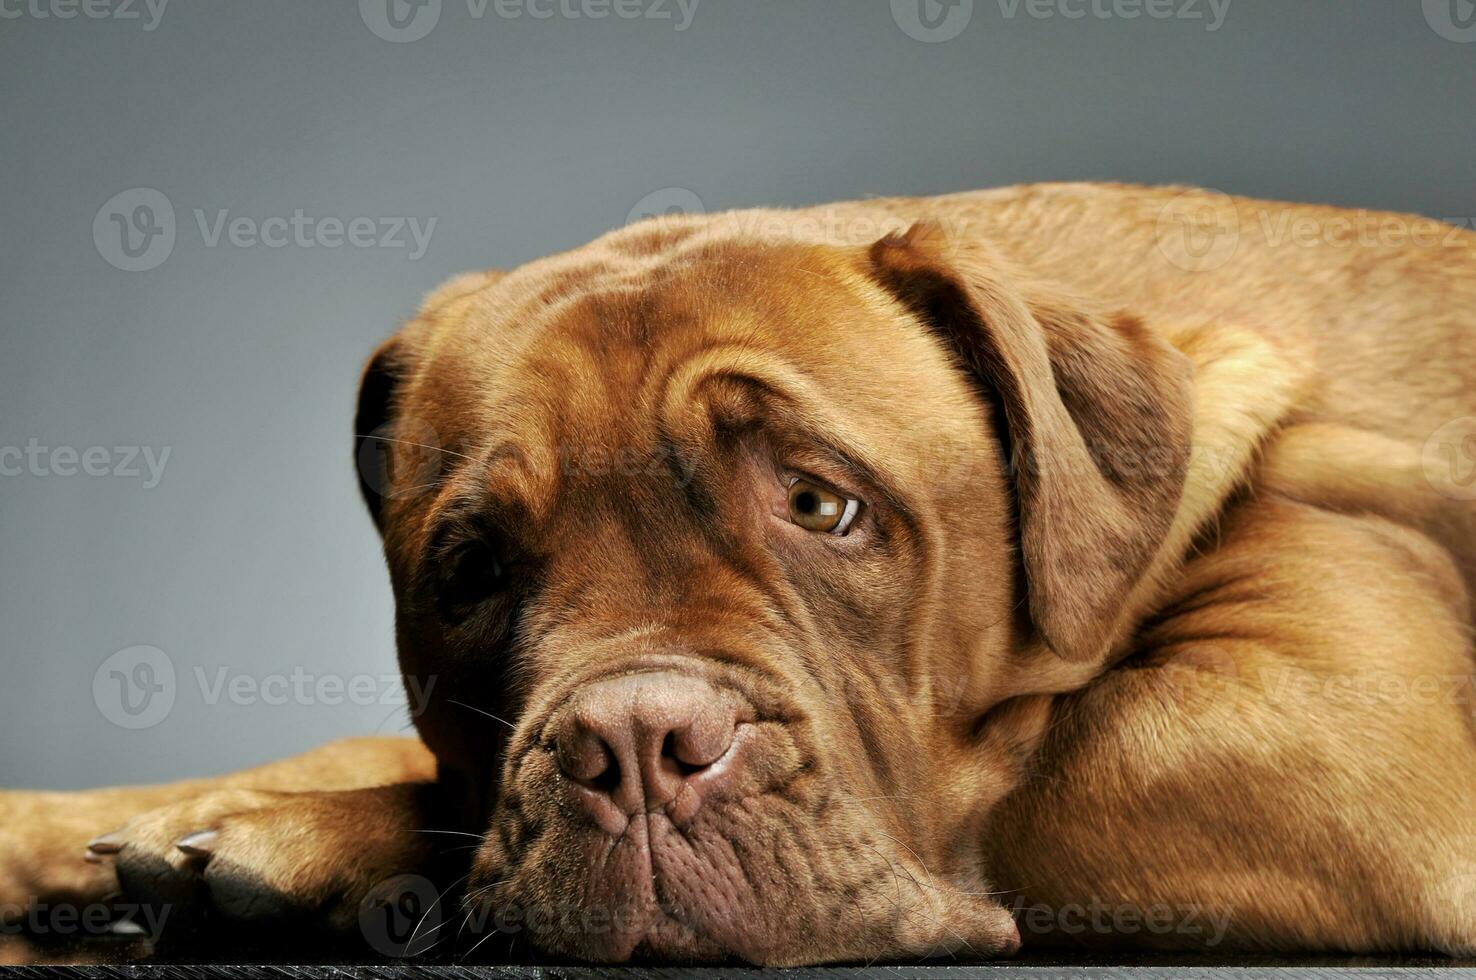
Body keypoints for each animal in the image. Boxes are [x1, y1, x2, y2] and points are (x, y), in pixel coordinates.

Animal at [2, 183, 1476, 962]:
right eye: (471, 569)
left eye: (822, 504)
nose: (633, 744)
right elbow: (389, 754)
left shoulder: (1320, 737)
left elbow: (1036, 768)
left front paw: (296, 844)